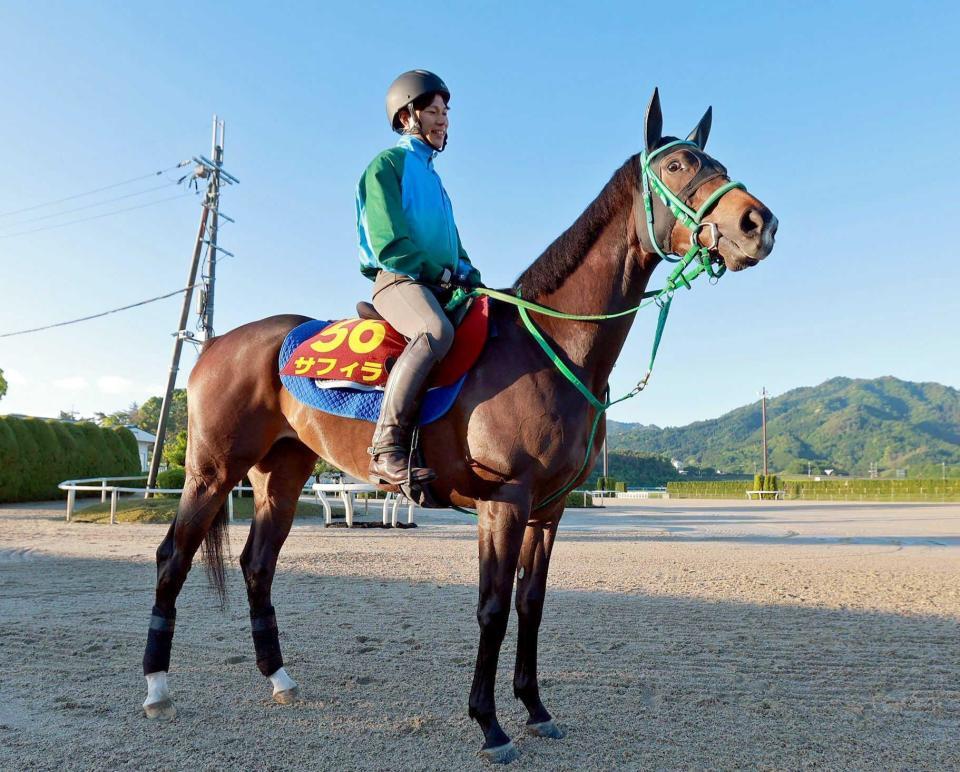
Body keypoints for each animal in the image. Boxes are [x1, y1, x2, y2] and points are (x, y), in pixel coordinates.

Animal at [139, 89, 776, 760]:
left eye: (716, 162)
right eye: (677, 165)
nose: (758, 223)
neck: (549, 344)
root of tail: (217, 344)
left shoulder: (548, 510)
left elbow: (530, 604)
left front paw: (534, 707)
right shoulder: (505, 501)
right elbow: (492, 609)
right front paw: (489, 723)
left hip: (279, 476)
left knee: (258, 566)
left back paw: (280, 678)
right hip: (212, 473)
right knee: (172, 558)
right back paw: (157, 687)